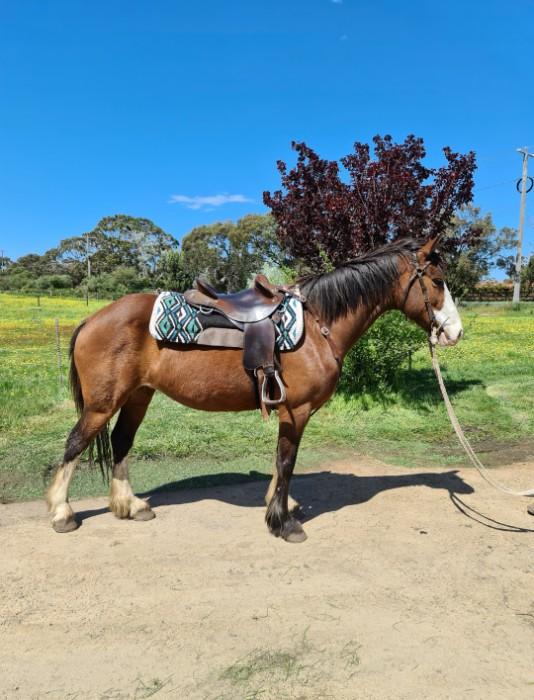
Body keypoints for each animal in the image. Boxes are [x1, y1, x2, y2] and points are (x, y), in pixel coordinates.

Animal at [46, 236, 463, 542]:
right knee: (75, 443)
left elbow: (282, 462)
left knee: (120, 441)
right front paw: (283, 523)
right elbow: (286, 461)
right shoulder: (296, 409)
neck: (318, 325)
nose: (455, 333)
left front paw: (282, 506)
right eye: (438, 281)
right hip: (102, 403)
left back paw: (132, 506)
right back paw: (62, 512)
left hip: (138, 396)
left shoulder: (290, 411)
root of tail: (92, 319)